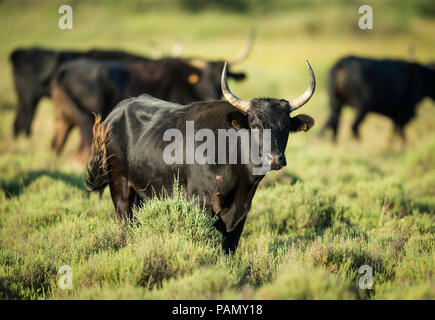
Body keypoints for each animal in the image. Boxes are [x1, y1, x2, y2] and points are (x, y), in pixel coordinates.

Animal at [85, 61, 316, 254]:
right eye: (255, 125)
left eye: (285, 126)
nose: (275, 158)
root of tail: (117, 111)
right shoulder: (201, 204)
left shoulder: (240, 215)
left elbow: (229, 249)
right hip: (121, 189)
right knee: (124, 225)